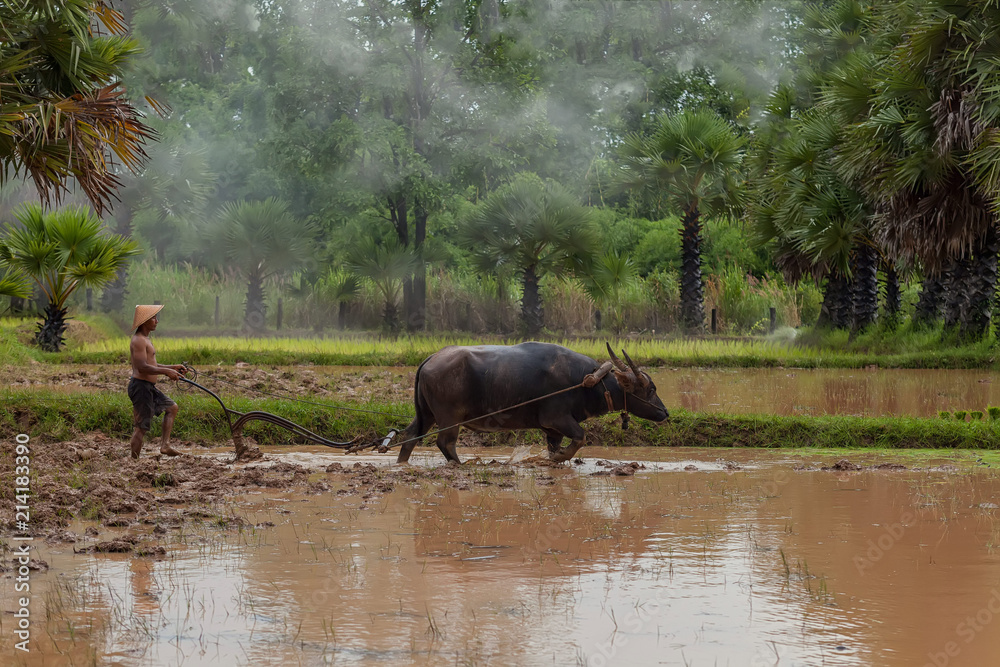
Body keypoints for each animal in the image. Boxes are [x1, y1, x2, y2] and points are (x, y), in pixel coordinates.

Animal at [394, 344, 668, 464]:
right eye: (651, 389)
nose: (665, 413)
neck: (587, 382)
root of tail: (431, 358)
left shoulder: (552, 430)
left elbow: (557, 445)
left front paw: (555, 458)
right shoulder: (556, 418)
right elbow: (581, 436)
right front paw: (561, 456)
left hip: (426, 414)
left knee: (410, 436)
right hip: (449, 418)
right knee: (445, 442)